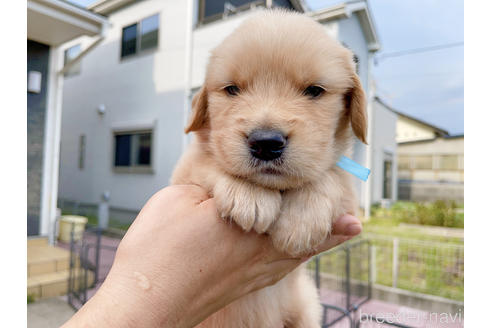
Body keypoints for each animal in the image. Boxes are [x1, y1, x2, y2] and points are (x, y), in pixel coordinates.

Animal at [169, 9, 366, 326]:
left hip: (306, 307)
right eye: (232, 89)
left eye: (314, 91)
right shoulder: (183, 173)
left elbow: (330, 176)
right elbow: (207, 161)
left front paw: (301, 221)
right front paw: (249, 194)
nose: (265, 143)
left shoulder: (349, 194)